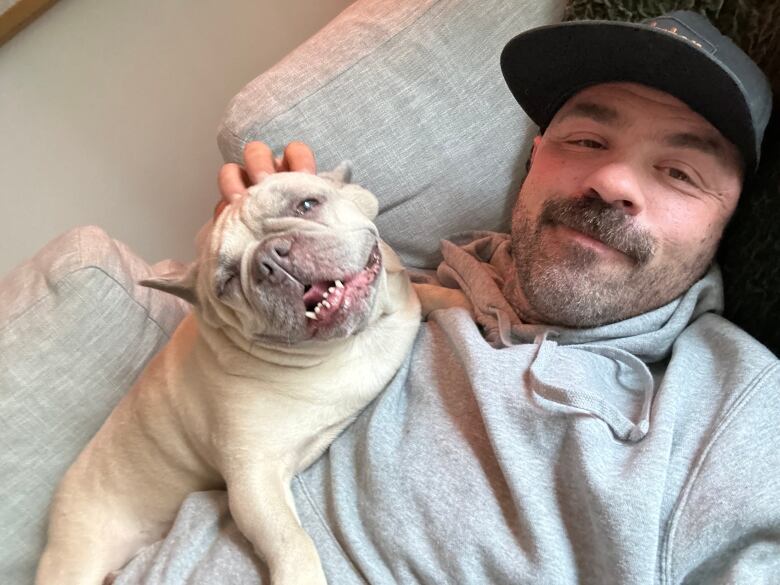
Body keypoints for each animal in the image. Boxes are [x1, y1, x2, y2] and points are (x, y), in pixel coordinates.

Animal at [35, 163, 420, 584]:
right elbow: (291, 541)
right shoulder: (252, 481)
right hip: (76, 560)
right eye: (228, 282)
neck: (350, 343)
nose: (272, 257)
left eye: (307, 204)